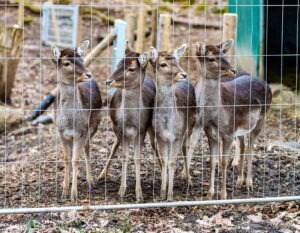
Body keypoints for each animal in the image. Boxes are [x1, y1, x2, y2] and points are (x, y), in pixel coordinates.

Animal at [51, 40, 102, 202]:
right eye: (66, 63)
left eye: (82, 60)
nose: (88, 74)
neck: (69, 122)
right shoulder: (61, 132)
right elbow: (67, 158)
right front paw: (64, 191)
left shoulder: (81, 131)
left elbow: (76, 159)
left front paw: (74, 195)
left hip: (94, 125)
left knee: (87, 148)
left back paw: (90, 181)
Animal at [98, 41, 158, 202]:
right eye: (119, 63)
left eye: (131, 68)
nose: (108, 81)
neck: (131, 120)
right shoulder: (120, 128)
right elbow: (124, 156)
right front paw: (121, 191)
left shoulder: (142, 129)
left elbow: (137, 158)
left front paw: (139, 193)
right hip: (115, 127)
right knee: (114, 146)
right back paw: (101, 175)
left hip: (151, 127)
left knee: (155, 146)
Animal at [148, 44, 197, 200]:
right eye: (163, 64)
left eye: (177, 61)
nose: (184, 74)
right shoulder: (160, 136)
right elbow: (165, 161)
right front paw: (162, 193)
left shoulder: (178, 136)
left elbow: (172, 161)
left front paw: (170, 196)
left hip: (189, 128)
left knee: (186, 149)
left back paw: (189, 180)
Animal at [190, 39, 272, 199]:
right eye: (211, 58)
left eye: (223, 54)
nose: (233, 70)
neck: (215, 115)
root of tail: (267, 85)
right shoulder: (210, 133)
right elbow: (213, 162)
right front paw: (209, 194)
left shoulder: (228, 133)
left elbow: (223, 162)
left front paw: (223, 195)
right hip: (241, 126)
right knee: (243, 145)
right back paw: (239, 180)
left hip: (260, 120)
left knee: (251, 148)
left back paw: (249, 183)